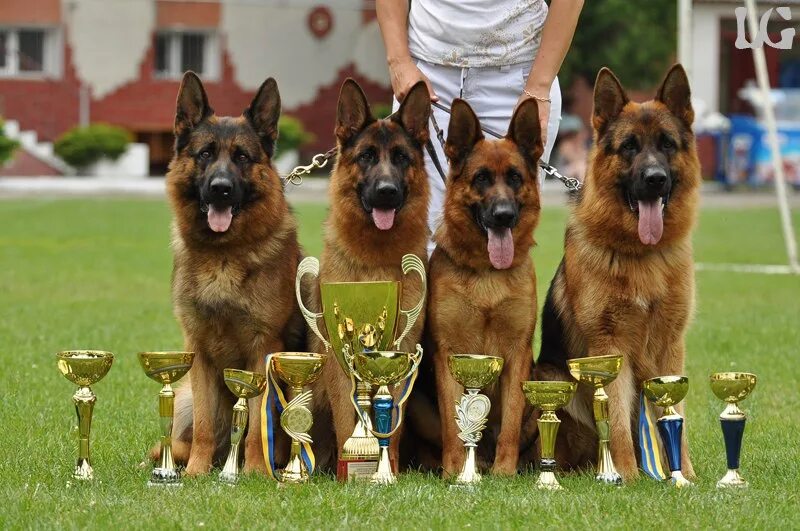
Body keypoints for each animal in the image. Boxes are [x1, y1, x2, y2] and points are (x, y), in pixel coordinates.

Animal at [158, 71, 304, 478]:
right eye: (205, 153)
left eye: (241, 157)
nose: (220, 190)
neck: (223, 255)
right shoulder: (199, 354)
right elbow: (207, 425)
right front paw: (196, 472)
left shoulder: (262, 352)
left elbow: (255, 426)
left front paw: (254, 471)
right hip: (184, 399)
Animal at [308, 78, 432, 470]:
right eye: (366, 156)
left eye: (402, 157)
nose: (386, 193)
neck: (376, 258)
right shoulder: (339, 361)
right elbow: (348, 419)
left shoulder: (401, 352)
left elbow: (392, 423)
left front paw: (385, 467)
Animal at [424, 98, 544, 478]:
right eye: (481, 178)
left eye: (515, 177)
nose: (504, 215)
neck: (488, 272)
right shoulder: (448, 354)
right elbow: (453, 424)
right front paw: (456, 471)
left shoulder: (517, 355)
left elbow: (510, 423)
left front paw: (504, 472)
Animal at [536, 65, 700, 482]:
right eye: (629, 146)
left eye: (667, 144)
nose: (655, 178)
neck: (642, 255)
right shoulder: (610, 347)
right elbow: (619, 420)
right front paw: (624, 475)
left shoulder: (671, 349)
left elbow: (675, 415)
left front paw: (685, 474)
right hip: (551, 375)